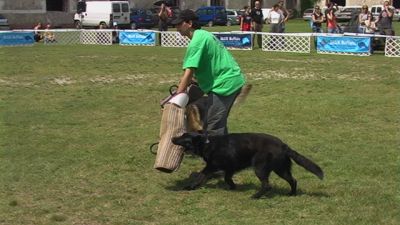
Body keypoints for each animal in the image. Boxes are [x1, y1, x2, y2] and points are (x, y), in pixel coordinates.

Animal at [172, 133, 324, 198]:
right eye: (181, 134)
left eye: (183, 138)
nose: (173, 138)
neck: (206, 143)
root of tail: (284, 146)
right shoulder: (230, 168)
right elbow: (227, 178)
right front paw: (232, 187)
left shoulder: (210, 167)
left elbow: (200, 177)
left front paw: (189, 187)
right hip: (281, 169)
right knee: (293, 180)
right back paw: (292, 194)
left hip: (260, 168)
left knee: (267, 185)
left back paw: (255, 196)